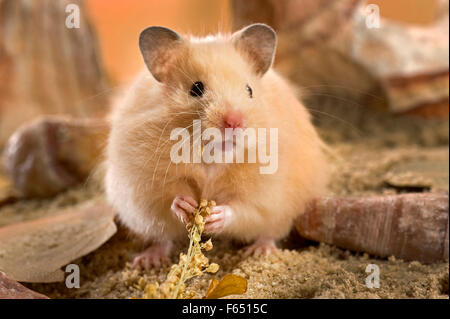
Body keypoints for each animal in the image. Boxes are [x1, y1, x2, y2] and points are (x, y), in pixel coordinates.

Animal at [106, 23, 330, 270]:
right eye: (196, 89)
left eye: (249, 90)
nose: (234, 122)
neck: (214, 156)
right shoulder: (146, 187)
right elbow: (169, 198)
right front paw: (185, 205)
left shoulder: (265, 194)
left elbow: (242, 209)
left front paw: (216, 216)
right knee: (162, 239)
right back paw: (148, 261)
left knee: (269, 232)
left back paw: (260, 252)